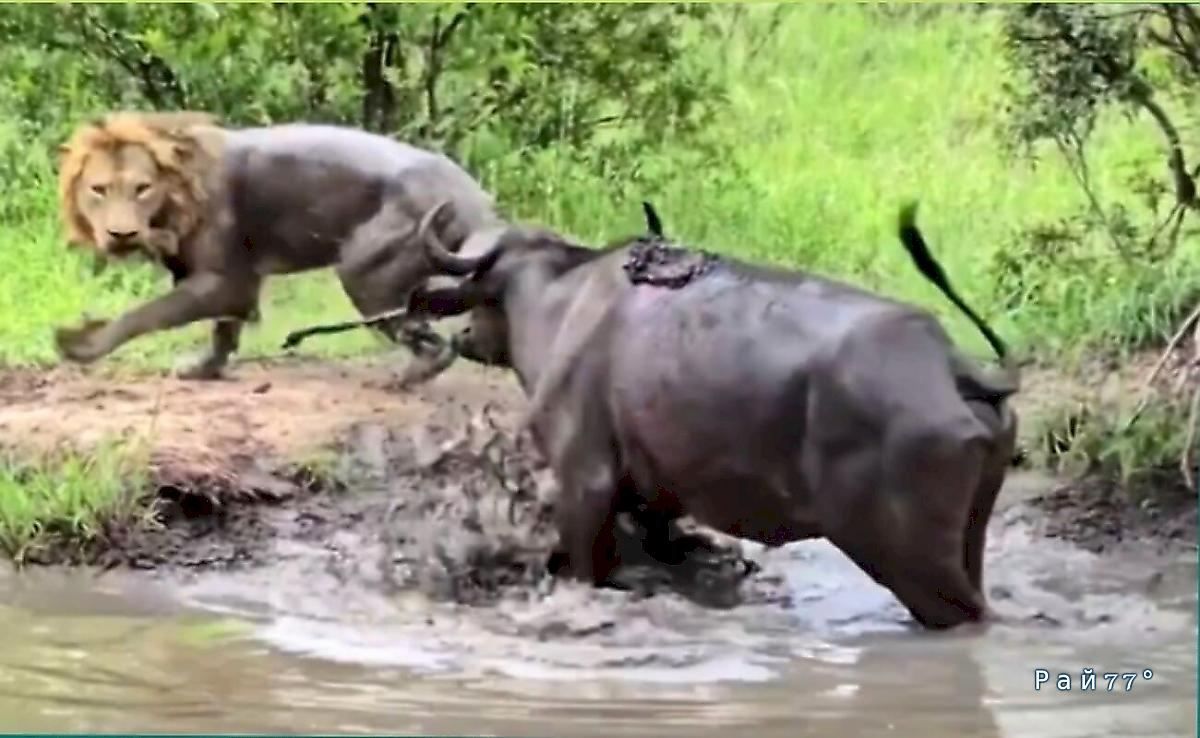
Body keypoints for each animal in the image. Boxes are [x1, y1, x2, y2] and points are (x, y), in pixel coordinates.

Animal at [54, 112, 504, 384]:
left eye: (142, 188)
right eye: (98, 189)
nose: (121, 233)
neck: (172, 206)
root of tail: (474, 200)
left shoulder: (223, 279)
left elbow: (146, 313)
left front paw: (82, 344)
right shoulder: (235, 282)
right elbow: (224, 329)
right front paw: (203, 369)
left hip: (364, 271)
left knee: (431, 341)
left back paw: (405, 376)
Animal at [408, 201, 1017, 628]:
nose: (461, 333)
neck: (561, 302)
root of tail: (953, 365)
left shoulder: (585, 484)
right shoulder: (656, 499)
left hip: (905, 556)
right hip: (968, 535)